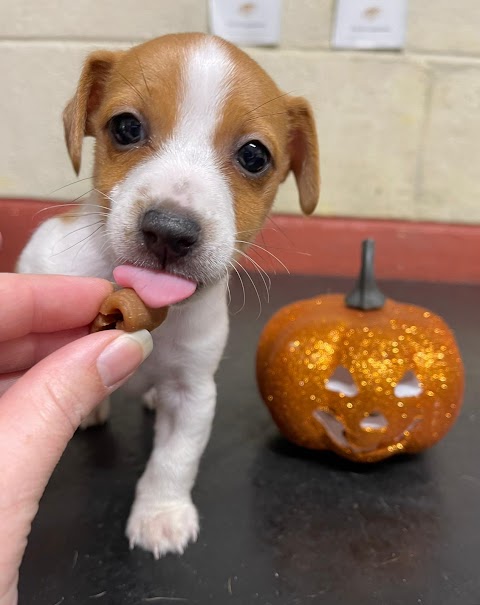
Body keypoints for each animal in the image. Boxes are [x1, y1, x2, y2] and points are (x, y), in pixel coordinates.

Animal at [17, 30, 318, 556]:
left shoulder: (193, 393)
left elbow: (174, 460)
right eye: (125, 127)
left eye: (254, 156)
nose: (169, 231)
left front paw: (160, 513)